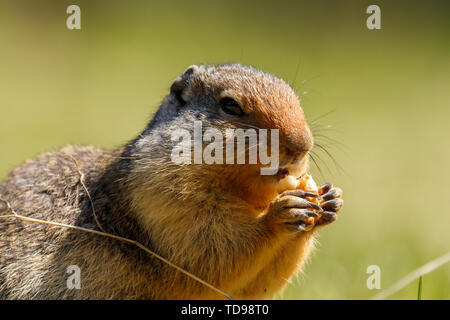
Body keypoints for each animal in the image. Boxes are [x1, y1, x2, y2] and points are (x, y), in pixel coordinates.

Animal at [0, 63, 342, 298]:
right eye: (230, 105)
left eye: (296, 99)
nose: (303, 144)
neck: (242, 193)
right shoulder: (161, 194)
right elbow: (210, 244)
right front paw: (281, 213)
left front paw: (329, 200)